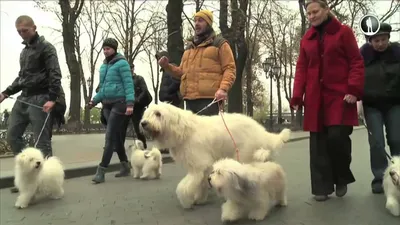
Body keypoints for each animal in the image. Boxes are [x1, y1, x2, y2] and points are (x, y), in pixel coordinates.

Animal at [140, 103, 290, 208]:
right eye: (147, 114)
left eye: (158, 114)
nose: (143, 123)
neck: (184, 130)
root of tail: (262, 131)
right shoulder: (203, 168)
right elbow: (200, 183)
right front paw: (200, 199)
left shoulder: (198, 165)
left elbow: (184, 187)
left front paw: (186, 200)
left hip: (246, 156)